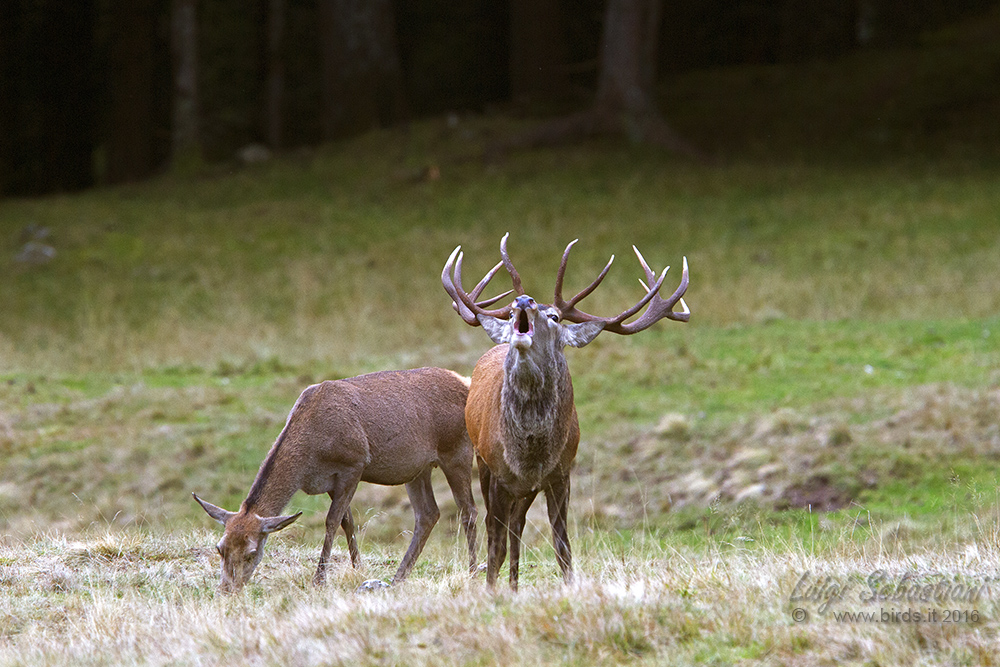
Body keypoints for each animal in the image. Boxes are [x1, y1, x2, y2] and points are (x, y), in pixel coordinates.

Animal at [192, 367, 484, 593]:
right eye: (220, 548)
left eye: (251, 553)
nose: (226, 590)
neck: (310, 457)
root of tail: (467, 383)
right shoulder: (331, 481)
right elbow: (347, 522)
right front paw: (359, 569)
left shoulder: (353, 464)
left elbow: (331, 521)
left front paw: (319, 579)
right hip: (416, 468)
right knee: (428, 514)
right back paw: (400, 576)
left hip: (457, 451)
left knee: (468, 510)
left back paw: (472, 572)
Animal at [442, 233, 689, 589]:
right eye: (513, 310)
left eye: (555, 317)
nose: (524, 300)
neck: (530, 453)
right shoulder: (499, 471)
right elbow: (495, 542)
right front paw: (489, 590)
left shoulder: (560, 473)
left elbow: (562, 546)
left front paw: (569, 587)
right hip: (481, 461)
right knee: (496, 527)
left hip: (527, 488)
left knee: (517, 526)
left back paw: (514, 586)